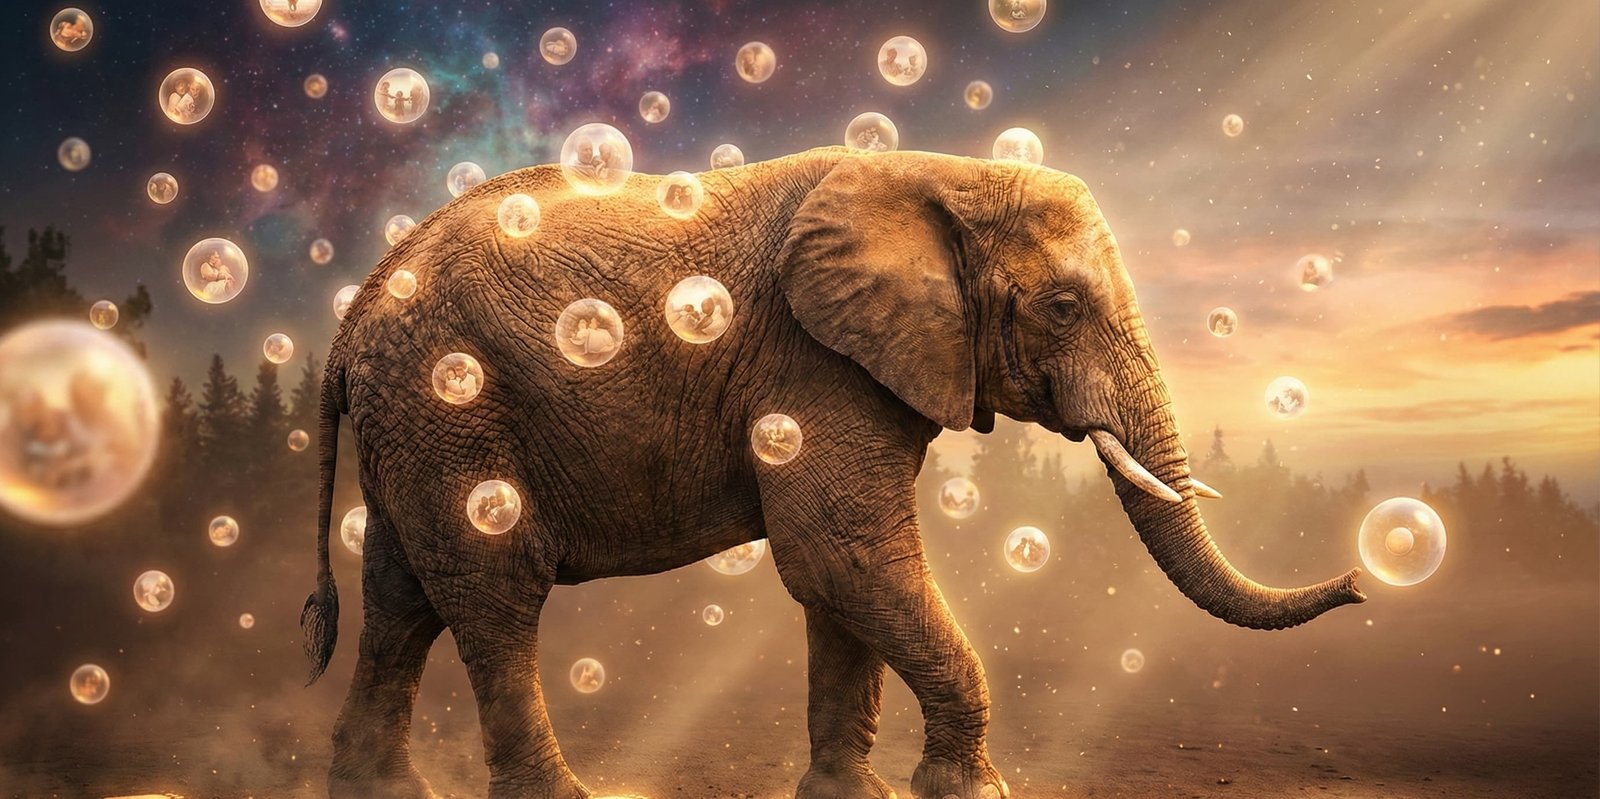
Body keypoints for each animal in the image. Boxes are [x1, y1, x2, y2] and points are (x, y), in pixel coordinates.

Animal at [300, 146, 1366, 799]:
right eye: (1064, 307)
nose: (1361, 582)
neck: (942, 173)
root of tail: (349, 324)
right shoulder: (810, 359)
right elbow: (842, 554)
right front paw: (973, 791)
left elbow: (839, 579)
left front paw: (851, 793)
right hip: (451, 409)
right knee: (493, 594)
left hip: (417, 428)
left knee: (401, 598)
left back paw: (378, 788)